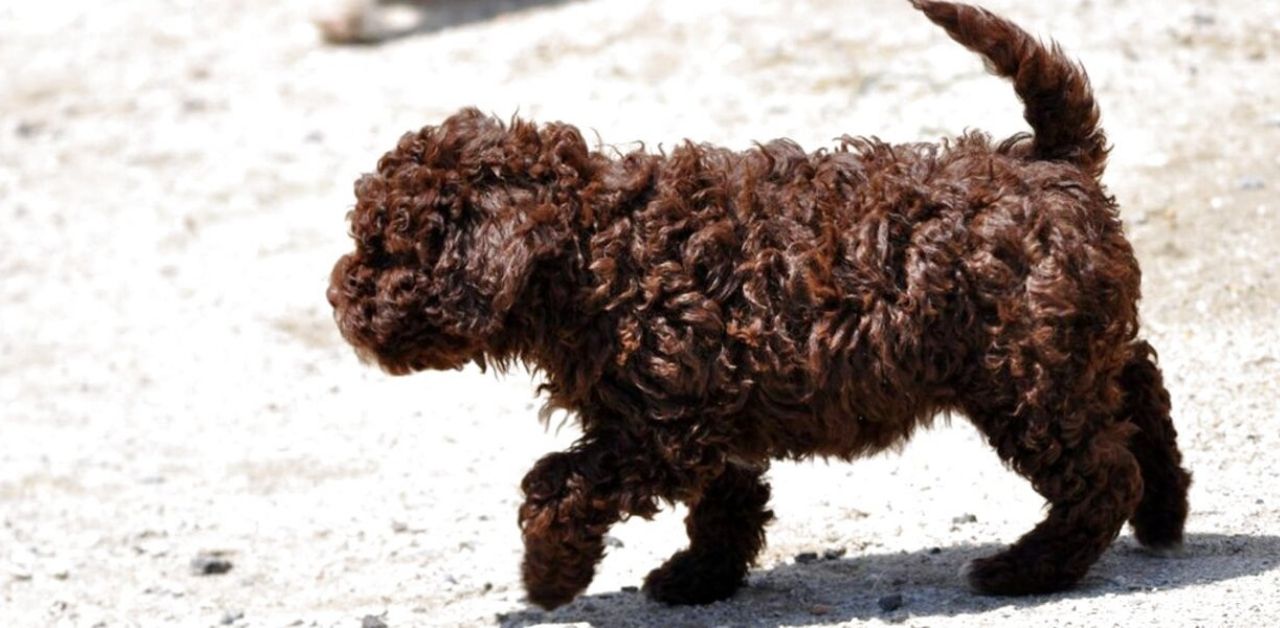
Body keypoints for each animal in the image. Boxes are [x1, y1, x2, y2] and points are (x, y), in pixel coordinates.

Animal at [327, 0, 1187, 608]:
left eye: (386, 250)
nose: (338, 304)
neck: (592, 249)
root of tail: (1051, 163)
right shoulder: (706, 417)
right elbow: (727, 501)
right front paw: (698, 578)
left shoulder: (656, 428)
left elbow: (556, 485)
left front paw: (549, 577)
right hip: (1066, 346)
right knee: (1139, 388)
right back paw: (1166, 515)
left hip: (1026, 370)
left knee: (1099, 470)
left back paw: (1030, 569)